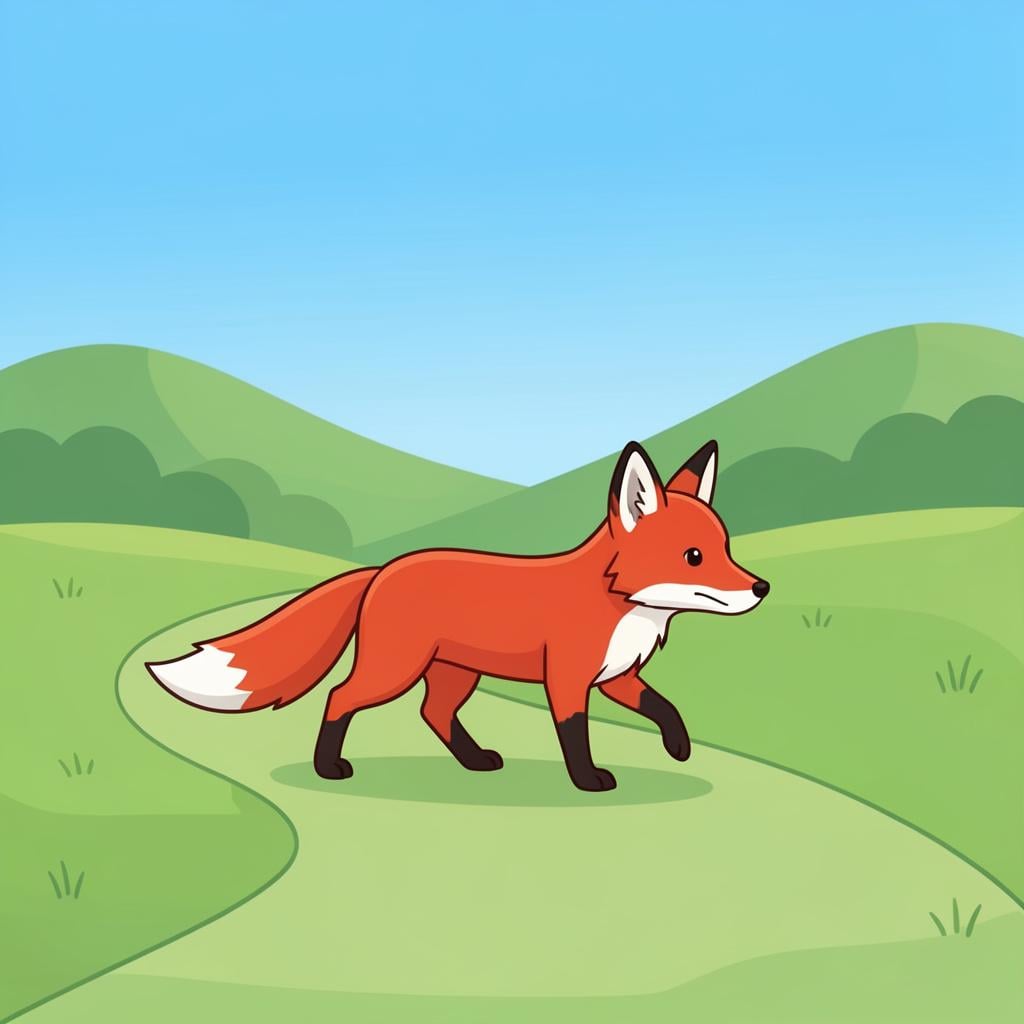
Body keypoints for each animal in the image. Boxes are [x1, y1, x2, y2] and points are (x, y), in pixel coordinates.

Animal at [147, 440, 769, 791]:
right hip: (394, 670)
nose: (762, 588)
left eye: (725, 547)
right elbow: (574, 734)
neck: (619, 604)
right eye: (694, 556)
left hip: (454, 673)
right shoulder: (568, 679)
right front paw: (589, 780)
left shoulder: (618, 676)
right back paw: (329, 768)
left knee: (434, 713)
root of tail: (382, 569)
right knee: (340, 697)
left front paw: (679, 747)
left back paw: (475, 760)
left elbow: (664, 707)